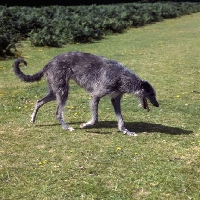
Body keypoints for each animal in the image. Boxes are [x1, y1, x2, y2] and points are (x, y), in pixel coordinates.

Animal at [13, 51, 159, 136]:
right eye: (152, 94)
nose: (157, 105)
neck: (123, 77)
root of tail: (47, 64)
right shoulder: (96, 95)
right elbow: (95, 119)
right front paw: (85, 125)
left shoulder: (115, 99)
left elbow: (120, 119)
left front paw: (125, 131)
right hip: (62, 91)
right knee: (58, 113)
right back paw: (66, 127)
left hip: (55, 92)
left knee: (39, 101)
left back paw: (33, 119)